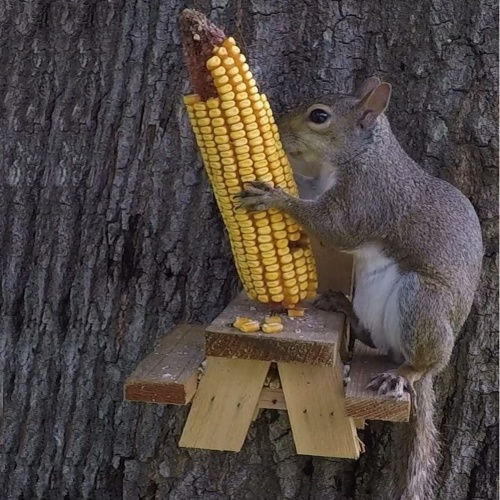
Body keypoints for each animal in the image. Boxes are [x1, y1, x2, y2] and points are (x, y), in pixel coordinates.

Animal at [238, 76, 484, 498]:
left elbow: (334, 228)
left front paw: (275, 196)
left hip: (423, 300)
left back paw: (405, 374)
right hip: (373, 301)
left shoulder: (368, 199)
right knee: (374, 336)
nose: (280, 129)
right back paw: (343, 308)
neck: (361, 156)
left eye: (319, 116)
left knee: (424, 361)